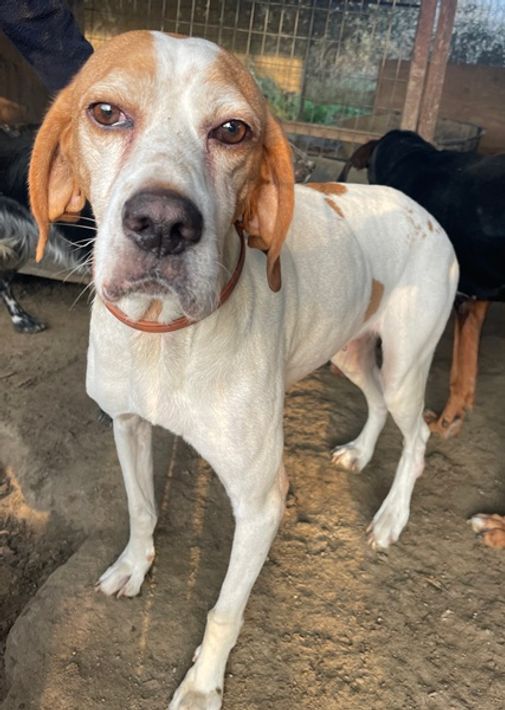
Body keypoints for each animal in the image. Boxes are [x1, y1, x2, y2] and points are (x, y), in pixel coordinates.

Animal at [28, 32, 458, 708]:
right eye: (105, 113)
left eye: (233, 130)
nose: (162, 223)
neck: (166, 339)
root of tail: (426, 211)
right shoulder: (126, 425)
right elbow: (142, 510)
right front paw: (133, 567)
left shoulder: (261, 504)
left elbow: (224, 612)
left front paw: (203, 687)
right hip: (350, 350)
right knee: (376, 407)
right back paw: (360, 454)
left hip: (406, 365)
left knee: (416, 436)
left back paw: (391, 518)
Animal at [339, 129, 505, 439]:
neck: (410, 156)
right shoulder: (475, 298)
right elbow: (466, 374)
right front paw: (453, 420)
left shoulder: (457, 297)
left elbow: (458, 372)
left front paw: (444, 422)